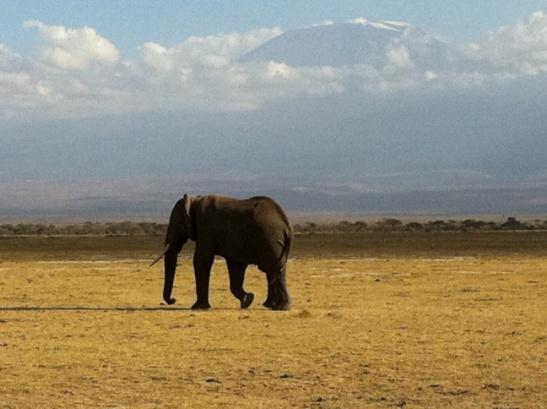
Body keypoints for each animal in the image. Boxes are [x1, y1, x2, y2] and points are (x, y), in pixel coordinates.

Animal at [150, 194, 294, 310]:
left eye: (177, 224)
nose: (173, 300)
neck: (195, 200)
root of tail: (286, 225)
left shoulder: (206, 228)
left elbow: (201, 260)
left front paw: (198, 307)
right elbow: (235, 268)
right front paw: (248, 300)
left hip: (269, 239)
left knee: (273, 269)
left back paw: (281, 307)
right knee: (273, 270)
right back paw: (271, 305)